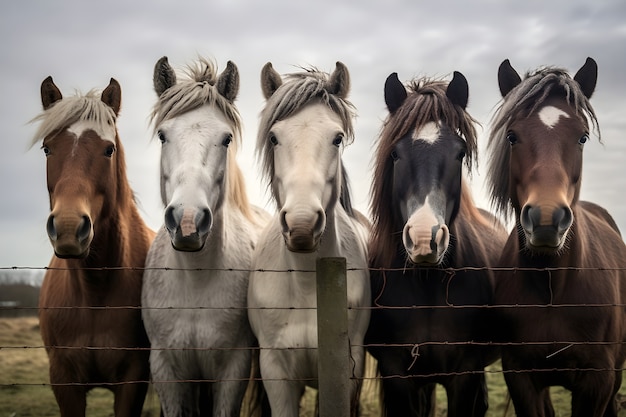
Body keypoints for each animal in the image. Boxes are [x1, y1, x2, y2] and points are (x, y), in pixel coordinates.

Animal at [31, 76, 156, 414]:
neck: (94, 294)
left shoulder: (133, 381)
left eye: (108, 149)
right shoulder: (63, 381)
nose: (68, 227)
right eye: (47, 148)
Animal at [141, 57, 268, 416]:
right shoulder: (166, 369)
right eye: (162, 135)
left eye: (226, 139)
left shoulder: (233, 370)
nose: (187, 222)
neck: (195, 281)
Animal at [246, 61, 368, 416]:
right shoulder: (275, 372)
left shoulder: (346, 370)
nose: (301, 225)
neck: (305, 287)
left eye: (337, 138)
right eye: (274, 137)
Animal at [366, 71, 508, 416]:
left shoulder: (465, 373)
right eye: (395, 154)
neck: (427, 284)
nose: (423, 238)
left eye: (460, 153)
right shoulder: (396, 373)